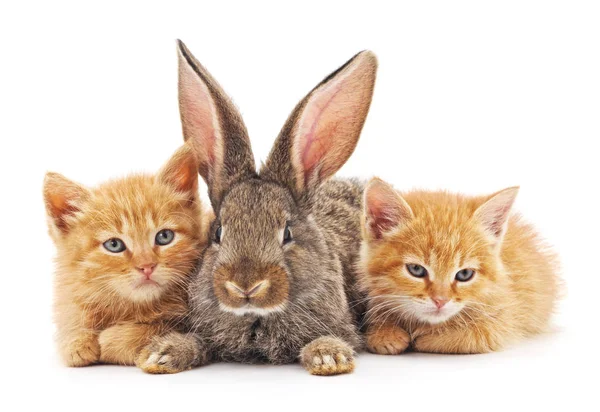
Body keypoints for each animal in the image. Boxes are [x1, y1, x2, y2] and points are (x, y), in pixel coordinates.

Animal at [44, 146, 209, 366]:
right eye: (114, 245)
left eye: (164, 236)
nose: (147, 266)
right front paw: (76, 340)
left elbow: (157, 328)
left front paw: (111, 340)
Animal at [358, 178, 560, 354]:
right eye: (416, 270)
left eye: (464, 274)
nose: (440, 301)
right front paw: (384, 332)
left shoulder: (504, 318)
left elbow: (474, 337)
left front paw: (425, 337)